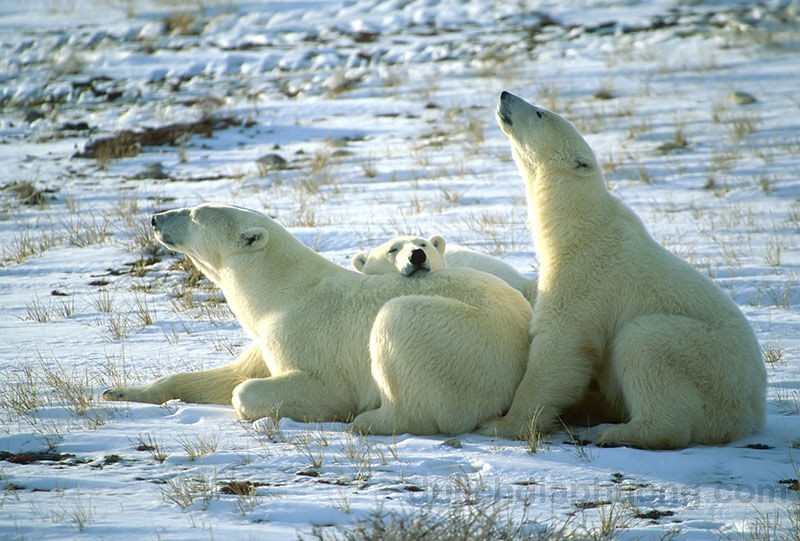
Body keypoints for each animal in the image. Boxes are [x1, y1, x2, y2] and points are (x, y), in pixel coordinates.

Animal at [478, 92, 764, 448]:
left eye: (540, 113)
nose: (505, 95)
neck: (580, 225)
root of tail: (751, 414)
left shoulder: (585, 273)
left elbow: (560, 344)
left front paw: (501, 423)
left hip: (706, 364)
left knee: (645, 344)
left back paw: (612, 431)